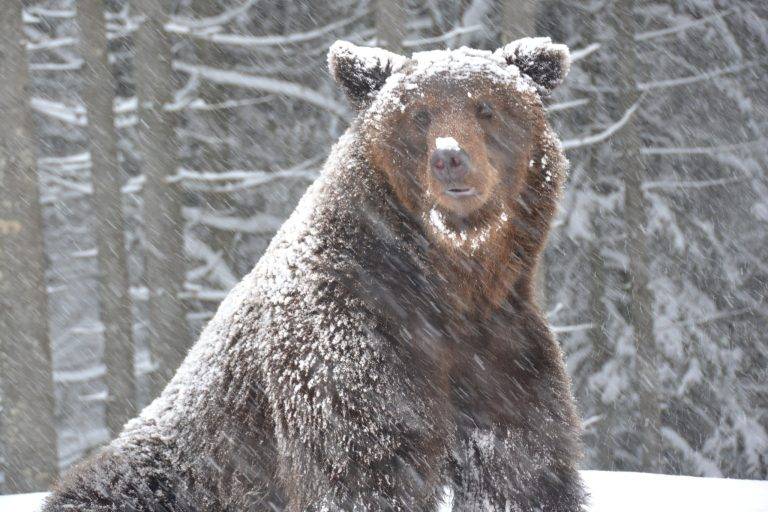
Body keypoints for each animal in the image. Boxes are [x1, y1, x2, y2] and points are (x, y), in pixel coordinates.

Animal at [43, 38, 584, 510]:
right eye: (419, 114)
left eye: (486, 107)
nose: (450, 158)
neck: (449, 282)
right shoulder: (348, 345)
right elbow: (364, 468)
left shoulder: (501, 352)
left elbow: (521, 470)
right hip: (177, 469)